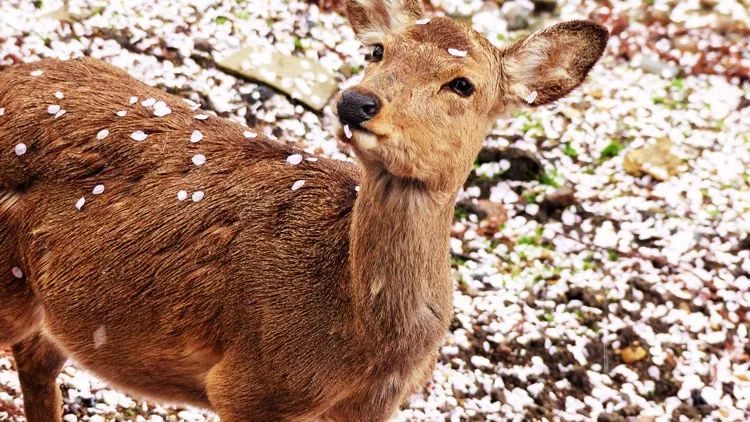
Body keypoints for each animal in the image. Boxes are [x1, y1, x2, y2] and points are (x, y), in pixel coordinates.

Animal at [0, 0, 612, 418]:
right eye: (377, 51)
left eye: (463, 84)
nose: (356, 101)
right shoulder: (248, 386)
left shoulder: (371, 407)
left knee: (38, 360)